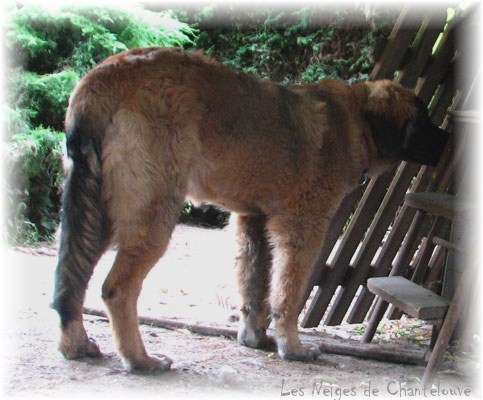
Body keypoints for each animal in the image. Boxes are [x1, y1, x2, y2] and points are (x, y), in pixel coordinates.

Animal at [53, 47, 450, 372]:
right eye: (422, 119)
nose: (448, 141)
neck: (355, 120)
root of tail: (107, 74)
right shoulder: (302, 228)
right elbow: (287, 292)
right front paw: (293, 348)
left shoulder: (252, 221)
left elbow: (254, 286)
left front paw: (255, 339)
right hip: (152, 214)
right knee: (116, 289)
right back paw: (140, 360)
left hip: (95, 211)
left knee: (71, 280)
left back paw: (76, 346)